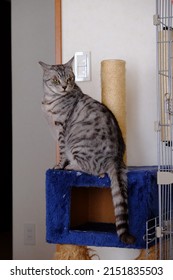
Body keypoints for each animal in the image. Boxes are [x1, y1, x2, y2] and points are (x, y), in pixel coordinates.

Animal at [38, 57, 135, 245]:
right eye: (56, 80)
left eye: (69, 78)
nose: (64, 87)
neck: (50, 99)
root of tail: (116, 158)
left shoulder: (61, 130)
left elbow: (62, 153)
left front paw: (59, 166)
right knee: (99, 171)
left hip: (78, 143)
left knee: (92, 169)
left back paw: (71, 167)